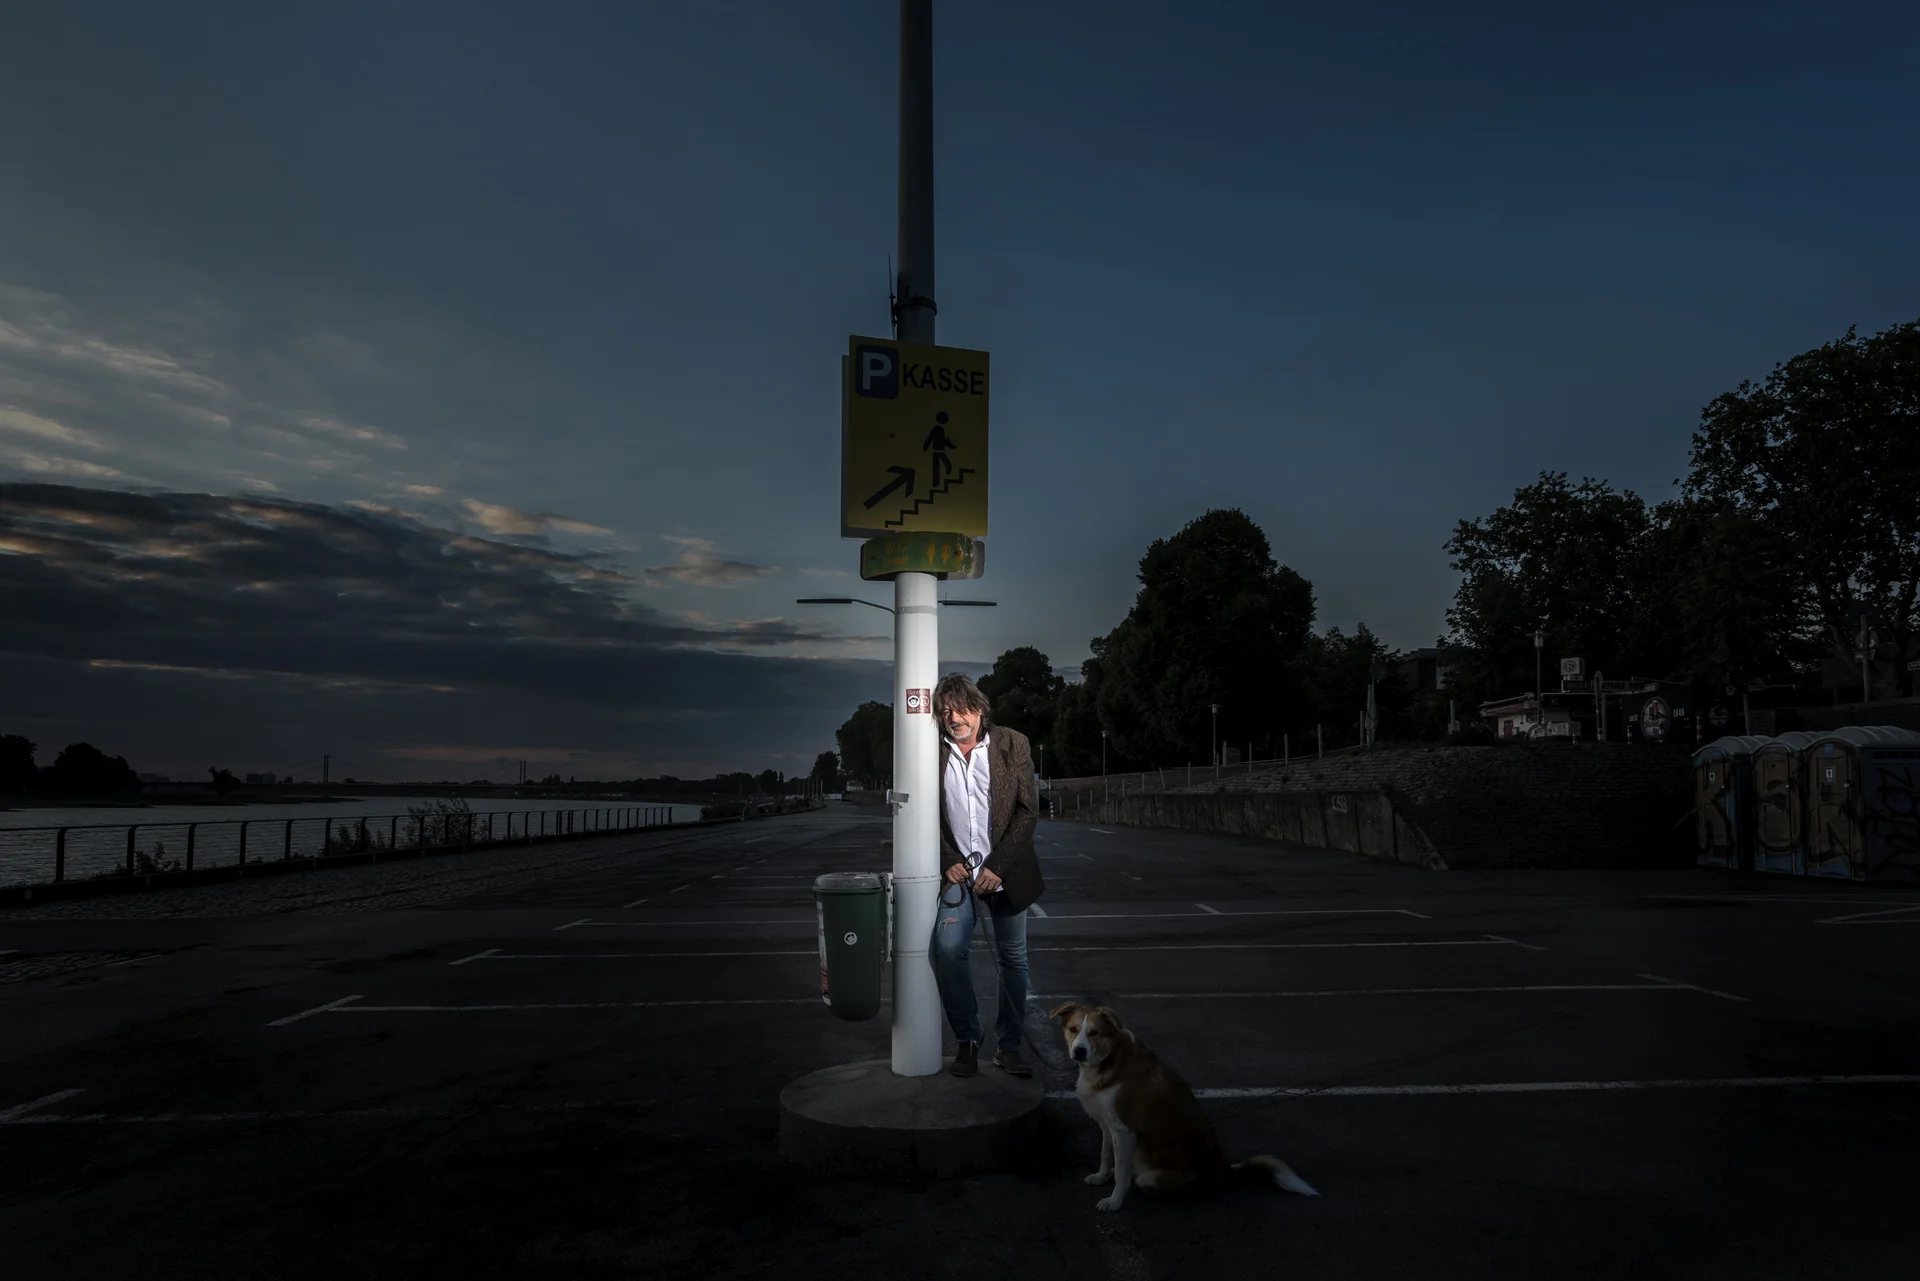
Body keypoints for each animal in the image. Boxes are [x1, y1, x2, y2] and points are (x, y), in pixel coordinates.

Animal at [1052, 998, 1320, 1213]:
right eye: (1073, 1029)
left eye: (1094, 1033)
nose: (1079, 1051)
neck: (1109, 1060)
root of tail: (1226, 1173)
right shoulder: (1108, 1125)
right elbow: (1106, 1156)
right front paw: (1101, 1177)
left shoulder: (1124, 1129)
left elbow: (1120, 1171)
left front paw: (1115, 1201)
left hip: (1155, 1177)